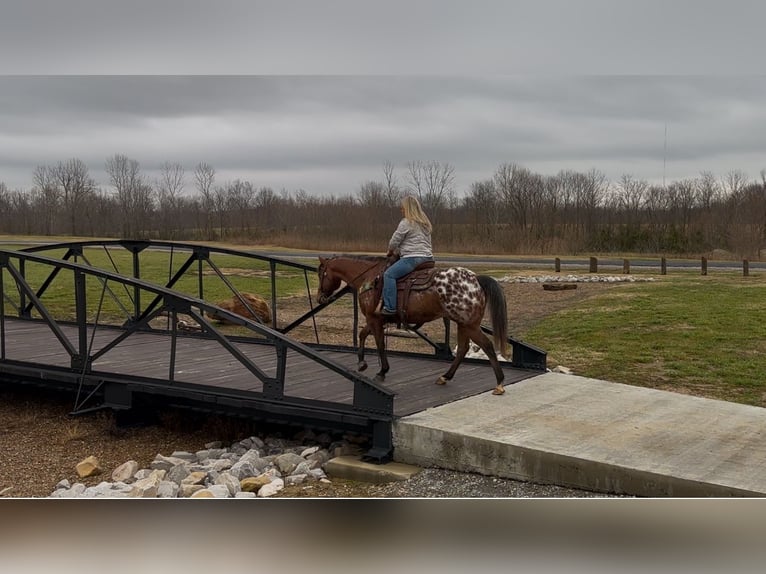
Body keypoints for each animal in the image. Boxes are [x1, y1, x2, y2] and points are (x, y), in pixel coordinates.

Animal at [316, 256, 512, 396]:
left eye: (321, 274)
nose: (319, 297)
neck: (368, 278)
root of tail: (476, 279)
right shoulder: (375, 320)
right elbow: (363, 334)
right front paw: (362, 362)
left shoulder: (374, 319)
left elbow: (379, 343)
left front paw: (382, 371)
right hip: (463, 324)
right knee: (463, 349)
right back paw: (445, 376)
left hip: (469, 325)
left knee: (486, 345)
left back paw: (499, 384)